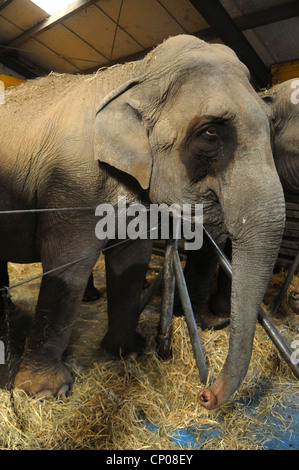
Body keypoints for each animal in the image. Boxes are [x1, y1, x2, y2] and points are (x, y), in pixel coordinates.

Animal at [0, 35, 286, 412]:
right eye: (211, 132)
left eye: (272, 125)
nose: (206, 394)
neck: (138, 73)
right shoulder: (71, 183)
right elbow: (68, 264)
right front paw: (45, 393)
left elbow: (131, 259)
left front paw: (128, 353)